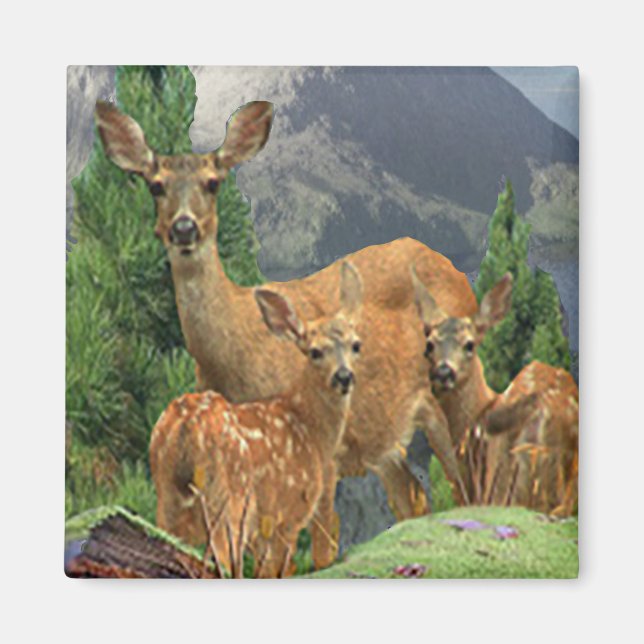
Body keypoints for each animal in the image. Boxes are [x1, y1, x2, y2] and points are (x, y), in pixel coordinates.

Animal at [150, 262, 363, 578]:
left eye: (356, 345)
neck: (310, 429)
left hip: (167, 498)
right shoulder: (288, 512)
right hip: (229, 499)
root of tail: (186, 426)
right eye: (315, 351)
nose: (344, 376)